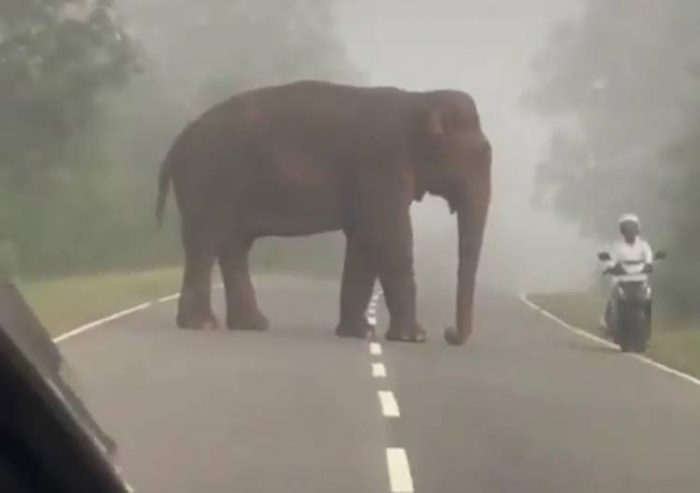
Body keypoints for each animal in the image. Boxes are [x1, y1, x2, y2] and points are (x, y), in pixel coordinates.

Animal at [156, 80, 492, 344]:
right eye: (478, 156)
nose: (449, 333)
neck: (421, 99)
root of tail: (177, 142)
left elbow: (364, 240)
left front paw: (358, 333)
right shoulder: (382, 166)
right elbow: (389, 237)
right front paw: (413, 337)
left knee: (233, 246)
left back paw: (252, 325)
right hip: (207, 179)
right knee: (205, 243)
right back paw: (202, 325)